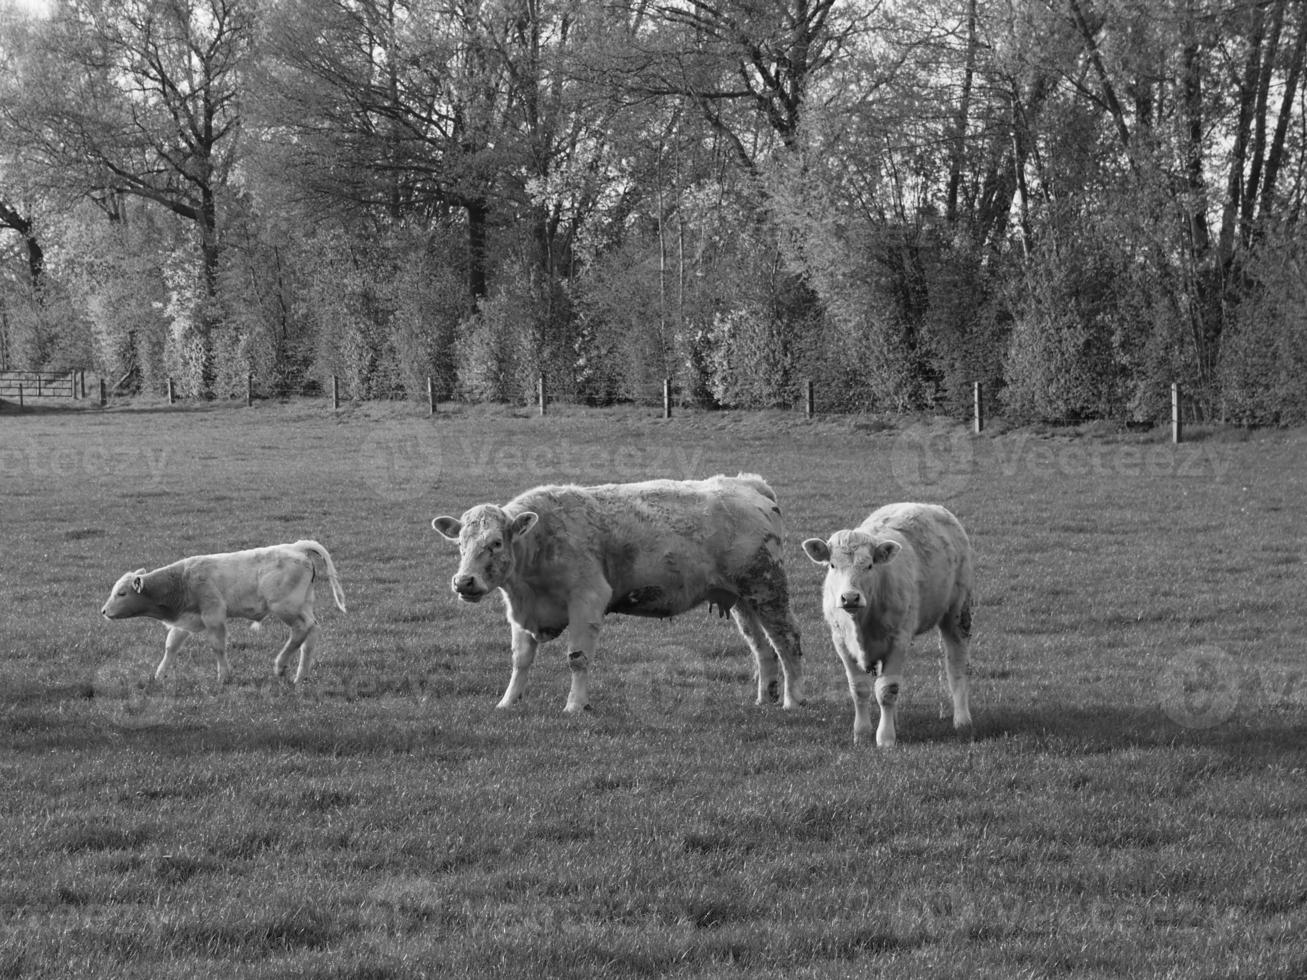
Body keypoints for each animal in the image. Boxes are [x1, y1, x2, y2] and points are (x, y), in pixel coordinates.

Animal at [99, 540, 347, 684]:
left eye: (121, 593)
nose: (103, 611)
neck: (182, 581)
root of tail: (296, 547)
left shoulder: (213, 615)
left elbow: (217, 646)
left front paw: (224, 676)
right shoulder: (186, 621)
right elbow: (171, 647)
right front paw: (159, 676)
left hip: (285, 606)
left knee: (301, 630)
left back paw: (280, 666)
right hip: (303, 605)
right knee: (312, 632)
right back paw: (300, 675)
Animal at [433, 473, 799, 716]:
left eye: (496, 542)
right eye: (460, 543)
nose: (464, 582)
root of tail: (748, 484)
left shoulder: (588, 598)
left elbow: (577, 658)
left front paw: (575, 705)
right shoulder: (522, 610)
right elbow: (520, 659)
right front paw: (508, 701)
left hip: (768, 588)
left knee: (787, 640)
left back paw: (792, 700)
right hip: (742, 599)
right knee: (762, 647)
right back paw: (764, 697)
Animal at [799, 501, 977, 747]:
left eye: (869, 565)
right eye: (833, 565)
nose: (850, 597)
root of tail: (928, 505)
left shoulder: (898, 640)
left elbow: (887, 690)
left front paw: (885, 738)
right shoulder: (841, 643)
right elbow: (860, 688)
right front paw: (862, 732)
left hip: (957, 613)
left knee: (957, 666)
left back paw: (962, 719)